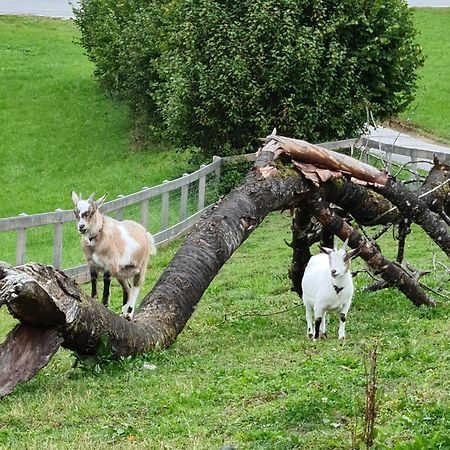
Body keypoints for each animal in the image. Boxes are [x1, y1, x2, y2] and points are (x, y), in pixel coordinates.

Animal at [69, 192, 156, 320]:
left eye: (92, 212)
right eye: (75, 212)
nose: (81, 226)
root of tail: (145, 233)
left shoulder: (110, 264)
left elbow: (106, 280)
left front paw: (105, 304)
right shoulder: (92, 264)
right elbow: (93, 278)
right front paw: (94, 299)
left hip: (142, 265)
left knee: (136, 286)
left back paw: (129, 314)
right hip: (121, 272)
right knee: (127, 287)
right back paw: (122, 312)